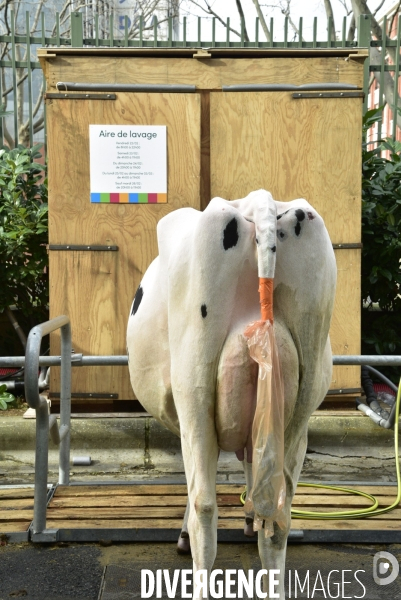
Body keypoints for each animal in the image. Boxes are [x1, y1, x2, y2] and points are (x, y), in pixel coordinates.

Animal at [126, 190, 336, 596]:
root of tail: (258, 201)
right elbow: (255, 471)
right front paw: (251, 518)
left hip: (194, 388)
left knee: (205, 505)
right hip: (301, 400)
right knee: (280, 514)